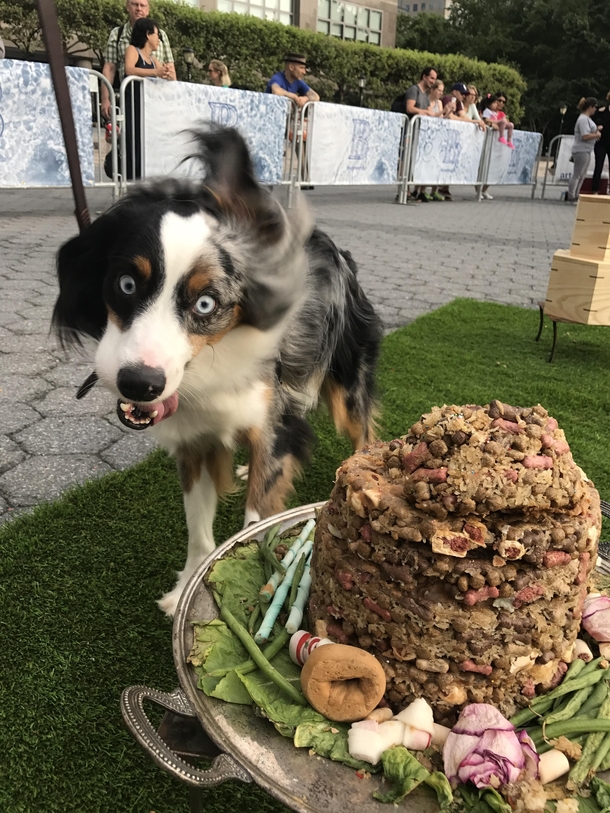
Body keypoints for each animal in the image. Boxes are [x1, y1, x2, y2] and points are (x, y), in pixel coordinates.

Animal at [55, 127, 380, 612]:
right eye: (126, 284)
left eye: (206, 303)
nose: (140, 384)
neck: (217, 351)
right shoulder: (193, 441)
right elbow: (200, 534)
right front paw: (184, 592)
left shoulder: (272, 424)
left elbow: (255, 522)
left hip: (347, 379)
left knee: (363, 432)